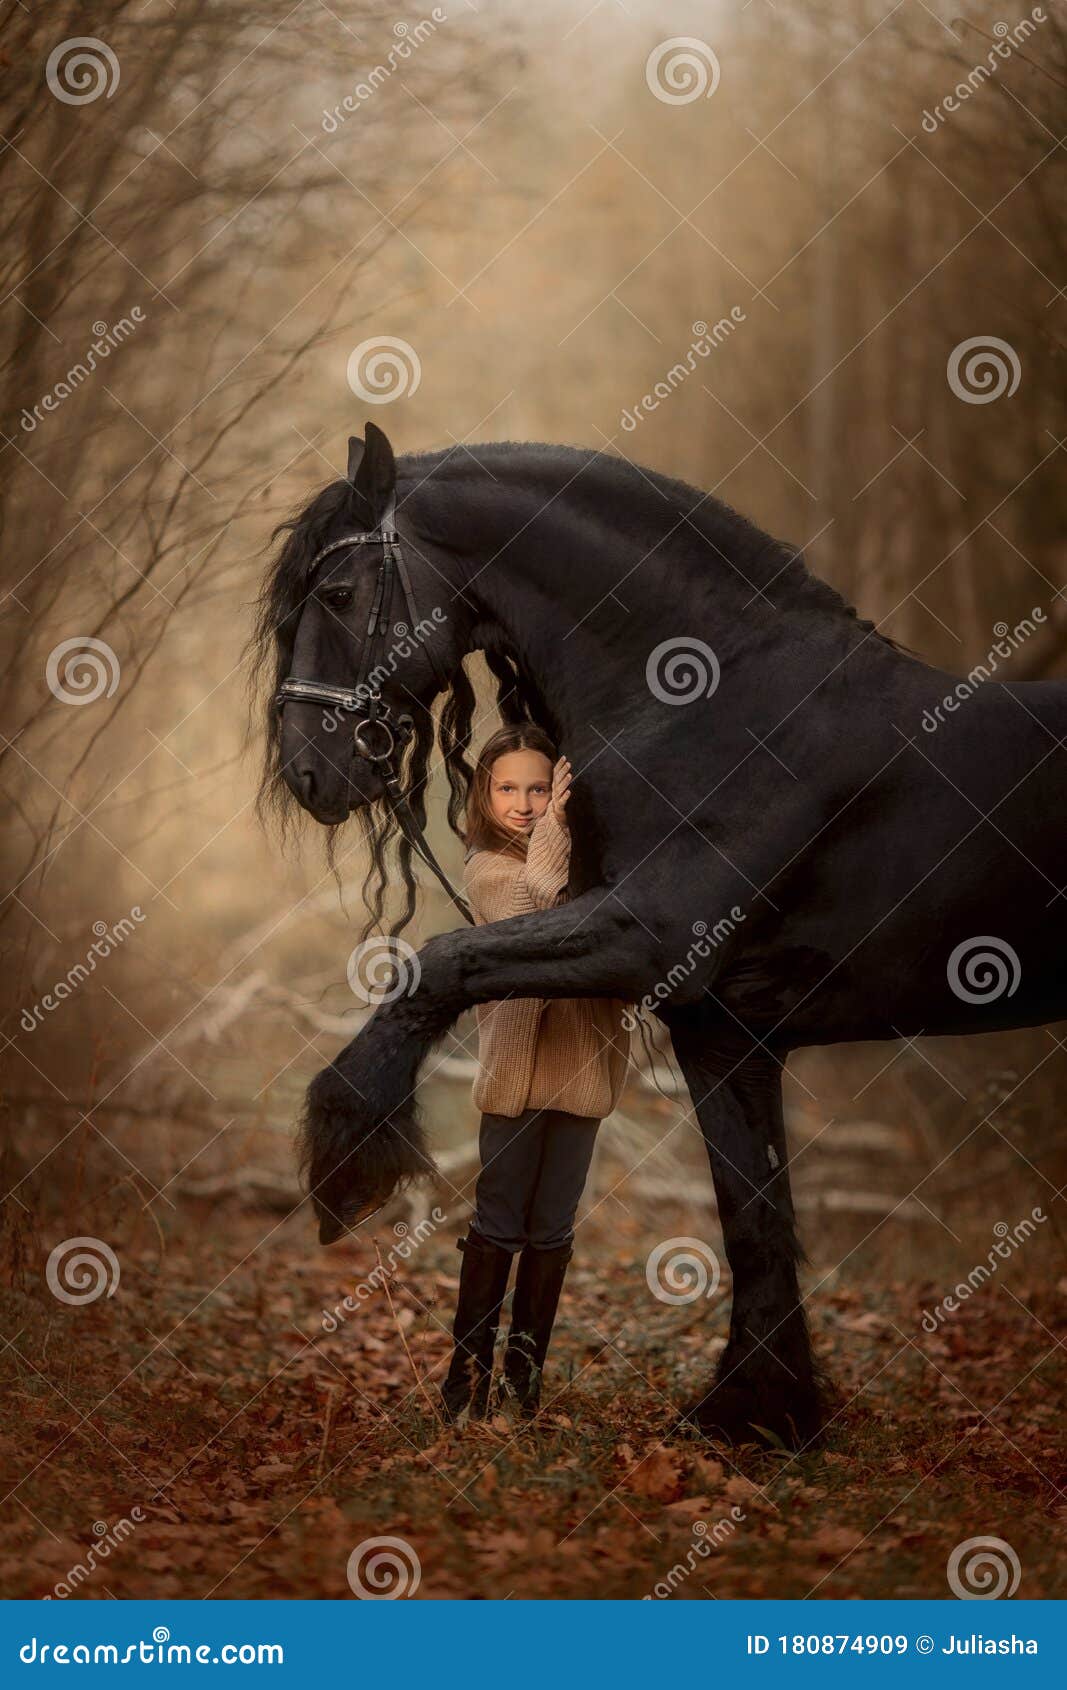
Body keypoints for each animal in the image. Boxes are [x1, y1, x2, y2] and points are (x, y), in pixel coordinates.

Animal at [257, 419, 1067, 1439]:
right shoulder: (723, 1030)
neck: (712, 708)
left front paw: (345, 1148)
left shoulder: (647, 934)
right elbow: (755, 1218)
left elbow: (441, 962)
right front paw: (756, 1419)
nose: (306, 772)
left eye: (335, 594)